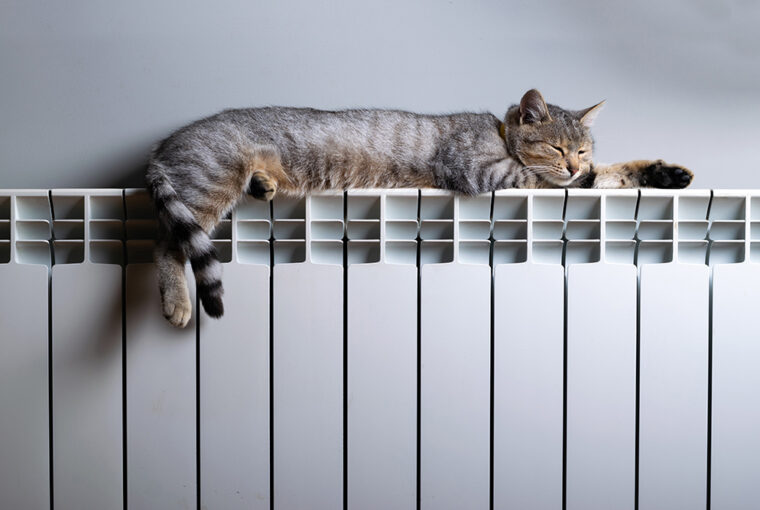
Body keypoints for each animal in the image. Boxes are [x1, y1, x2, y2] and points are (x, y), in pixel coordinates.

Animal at [147, 87, 696, 326]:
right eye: (557, 147)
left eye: (583, 148)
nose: (575, 162)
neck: (498, 134)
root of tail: (162, 146)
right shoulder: (486, 173)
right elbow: (559, 182)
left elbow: (607, 176)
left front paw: (663, 174)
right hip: (209, 183)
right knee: (166, 244)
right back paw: (177, 301)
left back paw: (266, 183)